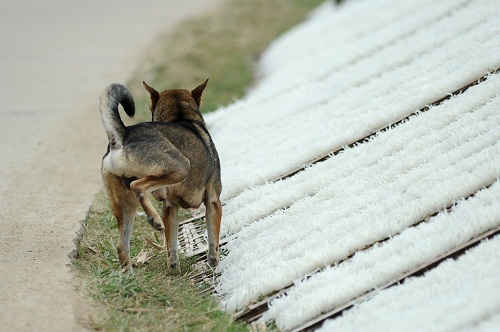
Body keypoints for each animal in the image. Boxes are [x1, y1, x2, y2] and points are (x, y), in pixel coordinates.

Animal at [98, 80, 222, 272]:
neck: (181, 117)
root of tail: (123, 135)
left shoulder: (169, 207)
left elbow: (171, 246)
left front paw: (173, 268)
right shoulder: (213, 201)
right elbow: (213, 241)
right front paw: (214, 262)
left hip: (125, 205)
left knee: (121, 246)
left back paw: (129, 275)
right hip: (181, 167)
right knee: (138, 186)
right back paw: (154, 220)